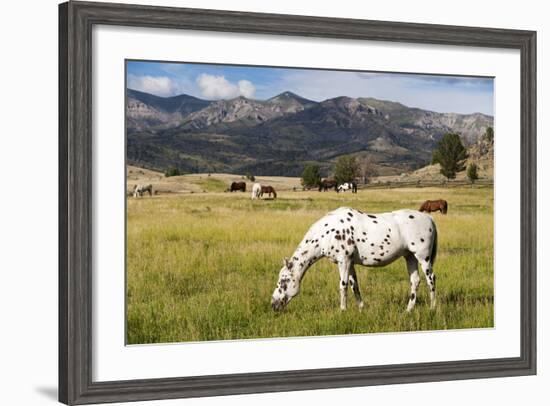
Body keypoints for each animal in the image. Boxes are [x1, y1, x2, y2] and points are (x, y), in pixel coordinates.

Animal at [272, 208, 440, 312]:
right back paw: (408, 309)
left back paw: (432, 308)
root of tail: (429, 218)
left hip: (423, 257)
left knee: (431, 279)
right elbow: (355, 287)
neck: (327, 232)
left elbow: (343, 286)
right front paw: (361, 308)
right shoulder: (350, 263)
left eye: (283, 281)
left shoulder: (344, 261)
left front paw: (343, 310)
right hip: (410, 256)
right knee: (415, 281)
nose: (273, 304)